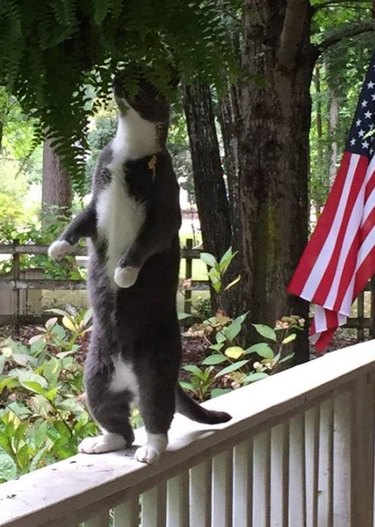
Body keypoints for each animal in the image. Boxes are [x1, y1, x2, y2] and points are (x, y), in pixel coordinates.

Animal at [48, 75, 231, 466]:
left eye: (143, 81)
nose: (119, 80)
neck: (129, 150)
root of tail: (127, 378)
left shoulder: (165, 205)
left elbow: (145, 242)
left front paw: (124, 273)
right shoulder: (96, 201)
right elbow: (80, 220)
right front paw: (58, 247)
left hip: (156, 367)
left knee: (156, 414)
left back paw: (151, 449)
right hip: (96, 373)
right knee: (118, 422)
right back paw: (103, 441)